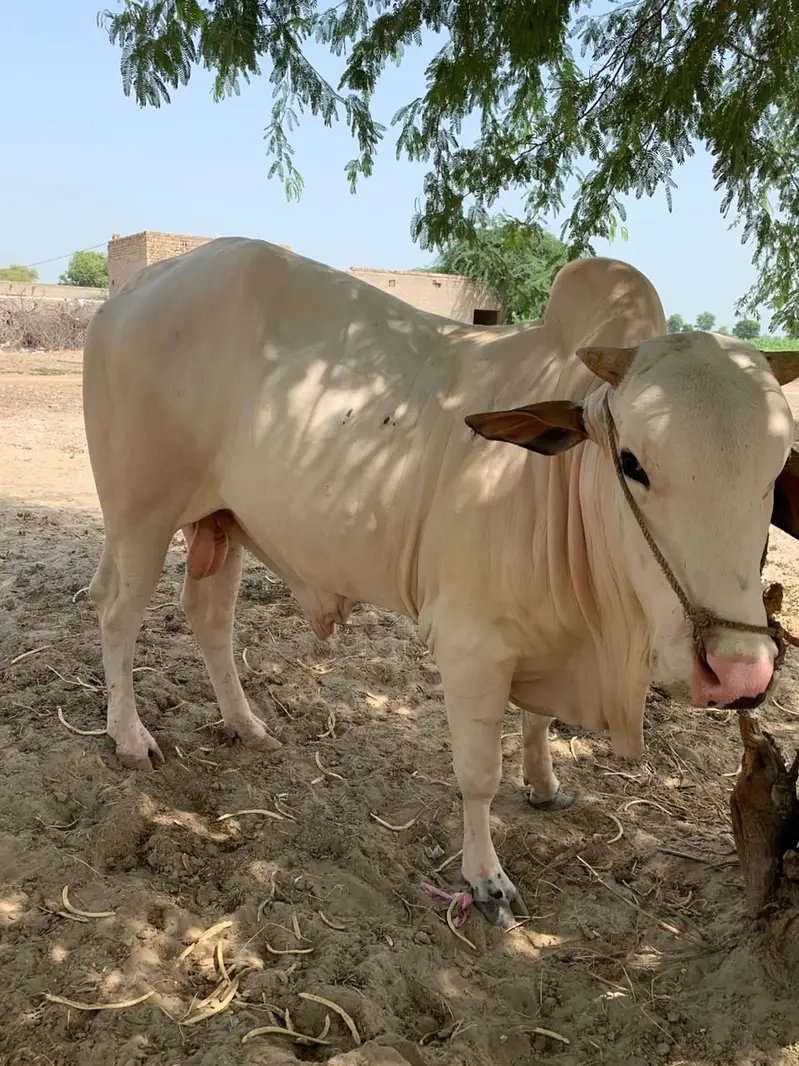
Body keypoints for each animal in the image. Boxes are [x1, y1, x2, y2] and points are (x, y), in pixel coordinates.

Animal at [82, 238, 799, 928]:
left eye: (776, 470)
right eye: (632, 462)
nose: (739, 672)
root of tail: (138, 288)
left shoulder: (543, 634)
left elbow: (537, 721)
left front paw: (544, 786)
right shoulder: (471, 646)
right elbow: (478, 774)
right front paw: (485, 880)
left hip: (220, 522)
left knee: (208, 617)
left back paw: (246, 725)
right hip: (141, 514)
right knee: (117, 613)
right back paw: (130, 737)